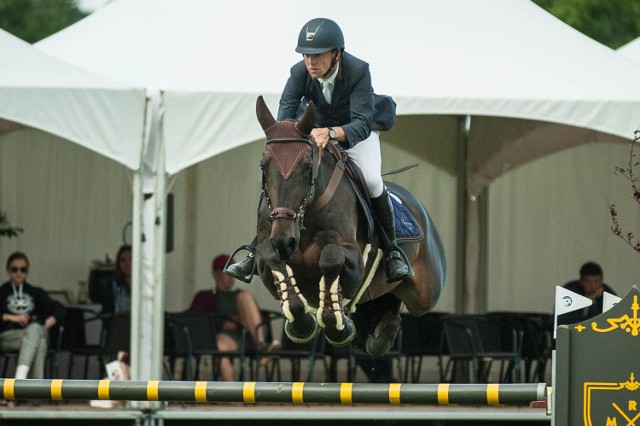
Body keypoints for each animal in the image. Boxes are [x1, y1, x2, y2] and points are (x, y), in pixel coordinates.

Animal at [254, 96, 444, 356]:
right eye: (263, 166)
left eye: (307, 166)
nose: (285, 241)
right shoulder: (266, 252)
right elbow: (271, 259)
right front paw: (303, 325)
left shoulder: (354, 258)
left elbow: (331, 258)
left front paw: (336, 326)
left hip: (426, 293)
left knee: (404, 299)